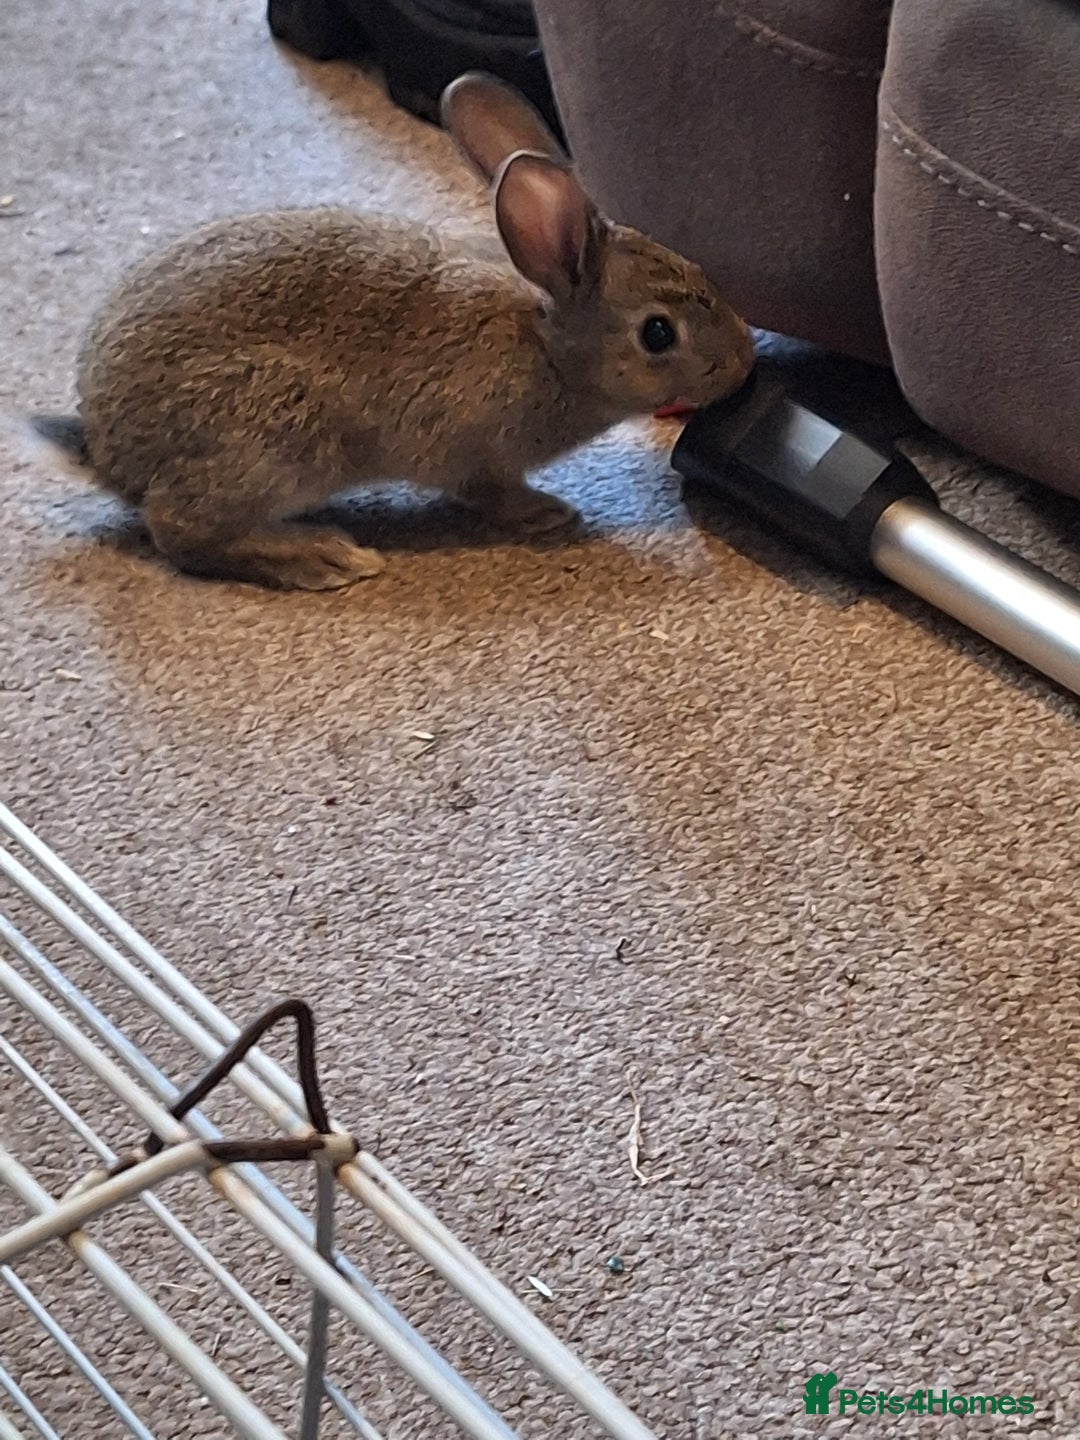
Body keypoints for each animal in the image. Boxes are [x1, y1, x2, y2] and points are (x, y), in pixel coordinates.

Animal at [31, 73, 755, 590]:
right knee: (181, 531)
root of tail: (106, 450)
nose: (745, 362)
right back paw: (321, 558)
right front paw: (546, 513)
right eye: (658, 334)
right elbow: (491, 492)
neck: (548, 348)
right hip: (267, 438)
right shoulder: (477, 452)